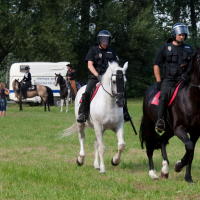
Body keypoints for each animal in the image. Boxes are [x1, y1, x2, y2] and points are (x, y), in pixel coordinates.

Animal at [140, 44, 200, 184]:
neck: (190, 99)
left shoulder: (195, 132)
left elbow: (191, 152)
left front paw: (188, 177)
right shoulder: (179, 129)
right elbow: (189, 147)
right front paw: (178, 166)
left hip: (169, 130)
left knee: (162, 141)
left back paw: (165, 170)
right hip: (150, 126)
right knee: (150, 147)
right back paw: (153, 173)